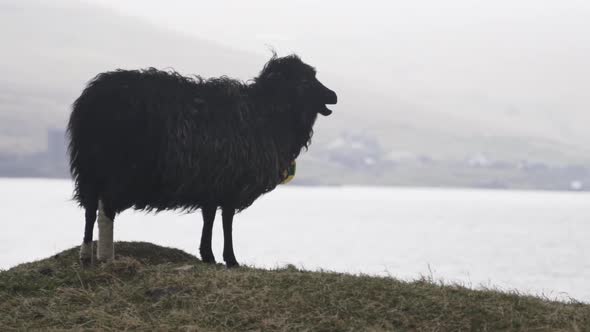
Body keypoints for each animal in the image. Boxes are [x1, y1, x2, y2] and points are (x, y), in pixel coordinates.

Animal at [67, 54, 338, 268]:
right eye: (304, 80)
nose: (333, 96)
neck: (266, 114)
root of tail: (88, 102)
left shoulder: (212, 182)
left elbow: (209, 218)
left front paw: (208, 255)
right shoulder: (230, 182)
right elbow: (226, 221)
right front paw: (230, 259)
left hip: (92, 168)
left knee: (91, 210)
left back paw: (86, 257)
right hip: (115, 168)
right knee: (105, 210)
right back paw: (106, 257)